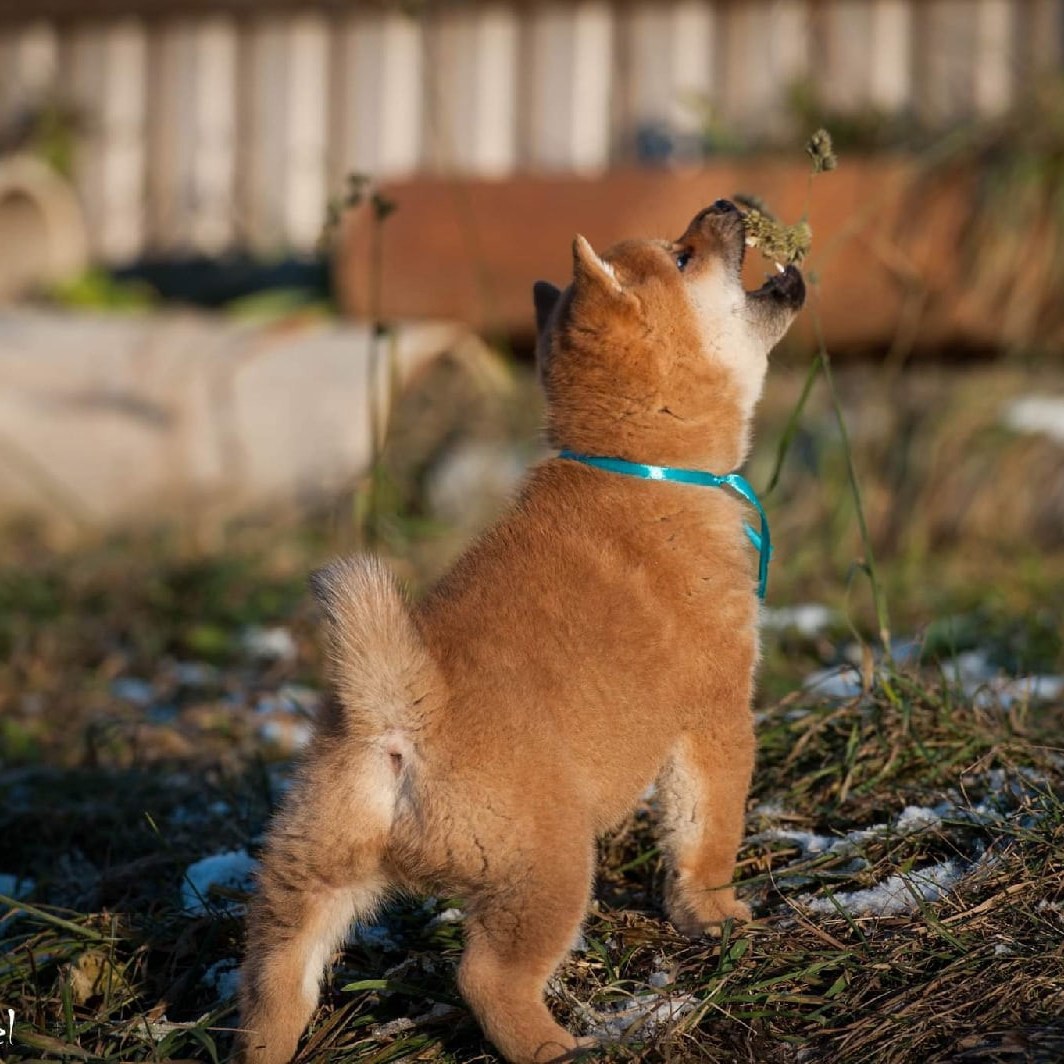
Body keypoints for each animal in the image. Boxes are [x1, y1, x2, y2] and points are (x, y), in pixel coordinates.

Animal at [239, 201, 804, 1064]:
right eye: (682, 254)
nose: (727, 206)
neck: (639, 468)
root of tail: (400, 721)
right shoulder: (714, 716)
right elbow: (706, 835)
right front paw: (714, 915)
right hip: (549, 870)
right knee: (487, 980)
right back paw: (565, 1046)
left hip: (306, 881)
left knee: (275, 988)